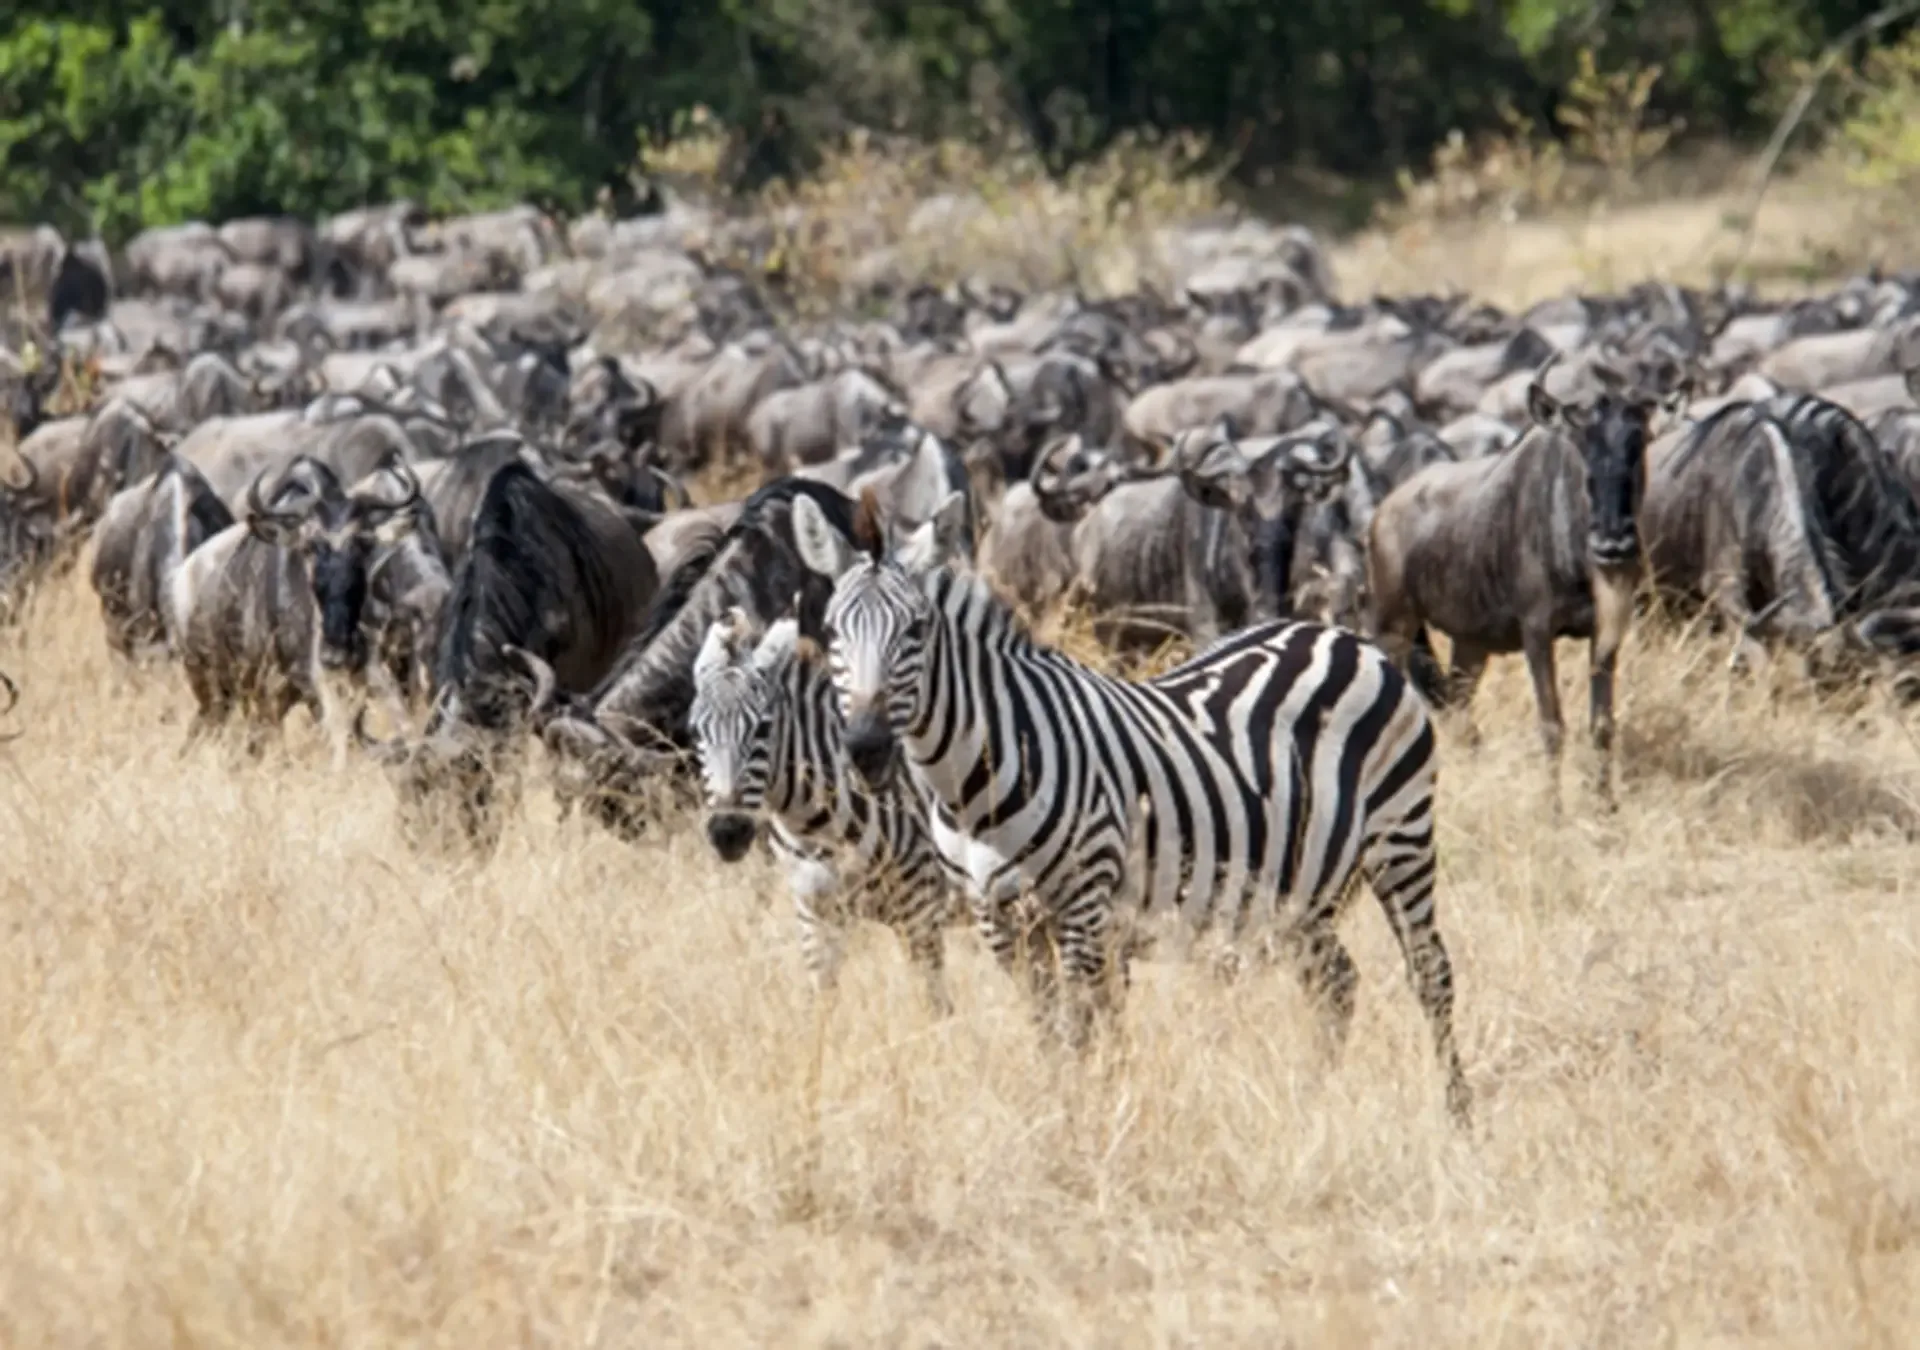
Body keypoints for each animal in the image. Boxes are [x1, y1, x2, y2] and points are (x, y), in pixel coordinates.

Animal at [688, 605, 965, 1016]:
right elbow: (822, 1003)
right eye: (696, 733)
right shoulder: (815, 911)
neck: (813, 826)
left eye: (763, 729)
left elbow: (935, 1008)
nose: (727, 831)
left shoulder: (920, 907)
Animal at [790, 488, 1471, 1123]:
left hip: (1401, 837)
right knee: (1336, 984)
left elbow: (1080, 1033)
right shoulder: (1000, 921)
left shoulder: (1083, 907)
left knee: (1431, 974)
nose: (866, 749)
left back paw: (1456, 1115)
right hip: (1296, 890)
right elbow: (1049, 1034)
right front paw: (1065, 1117)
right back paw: (1310, 1102)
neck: (972, 788)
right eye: (832, 633)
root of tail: (1340, 635)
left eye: (916, 631)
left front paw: (1081, 1125)